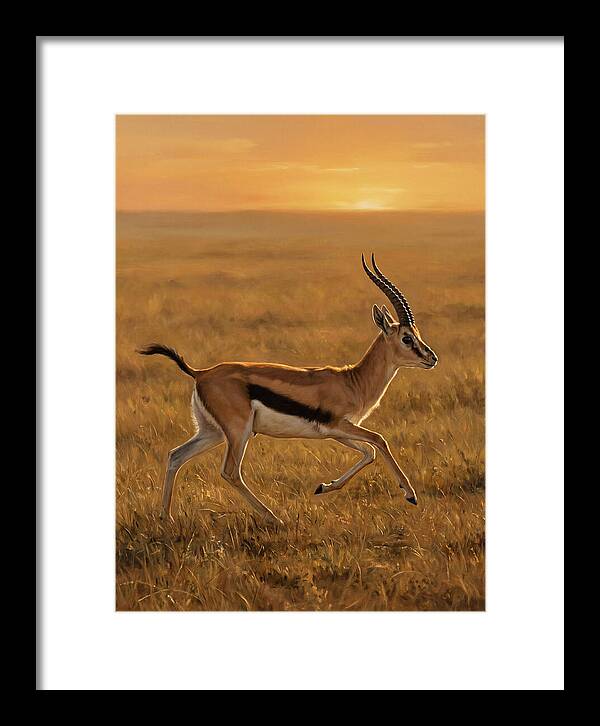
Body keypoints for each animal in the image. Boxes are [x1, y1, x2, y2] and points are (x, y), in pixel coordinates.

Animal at [138, 254, 438, 526]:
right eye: (406, 338)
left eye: (417, 334)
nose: (432, 358)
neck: (353, 381)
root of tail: (201, 372)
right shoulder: (339, 425)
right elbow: (379, 440)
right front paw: (410, 495)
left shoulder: (336, 432)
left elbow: (369, 453)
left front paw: (323, 487)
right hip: (238, 431)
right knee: (230, 472)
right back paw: (274, 518)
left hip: (212, 432)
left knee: (176, 455)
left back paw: (166, 518)